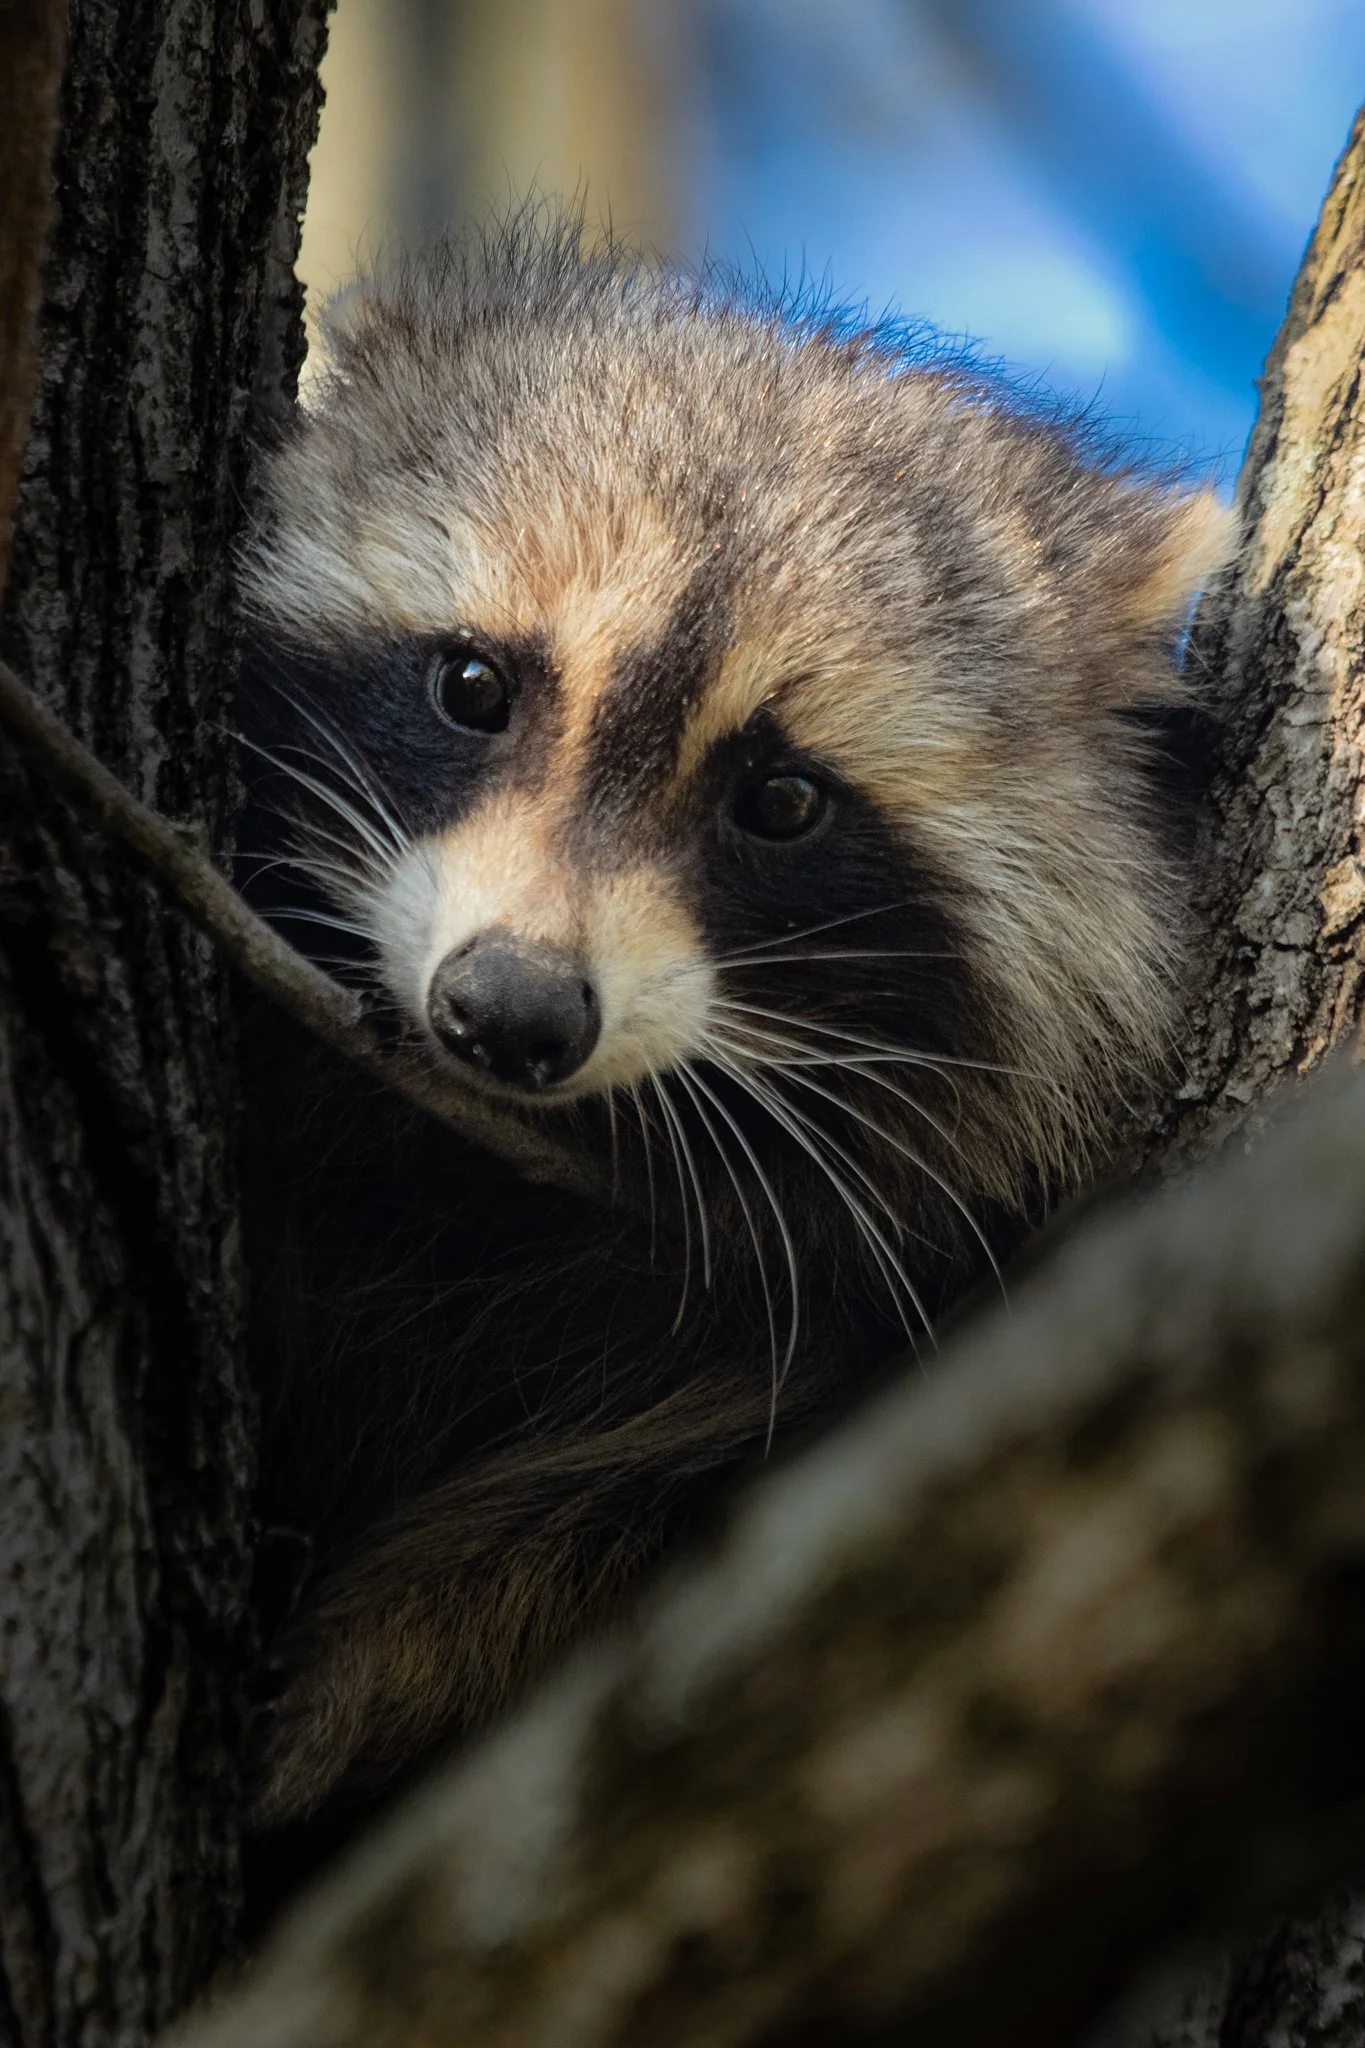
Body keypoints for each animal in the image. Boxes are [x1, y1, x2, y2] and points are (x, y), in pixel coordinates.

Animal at [237, 218, 1229, 1837]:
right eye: (473, 685)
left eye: (779, 798)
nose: (509, 1012)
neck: (482, 1176)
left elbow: (587, 1533)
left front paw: (360, 1681)